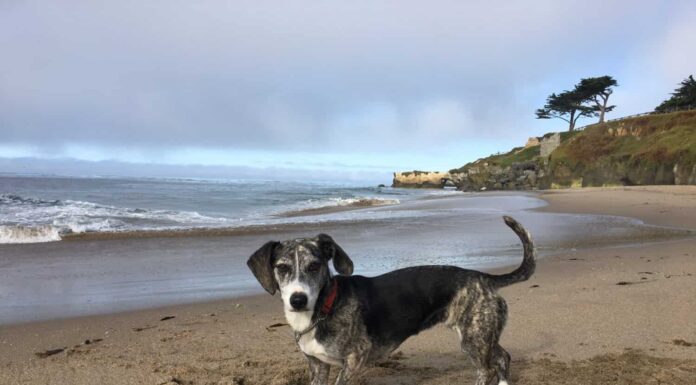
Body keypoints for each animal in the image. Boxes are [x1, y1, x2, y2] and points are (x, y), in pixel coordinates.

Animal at [247, 216, 536, 384]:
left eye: (315, 266)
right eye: (282, 267)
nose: (298, 299)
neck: (322, 308)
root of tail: (483, 277)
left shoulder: (354, 359)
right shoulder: (317, 366)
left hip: (473, 339)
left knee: (487, 370)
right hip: (483, 335)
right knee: (503, 357)